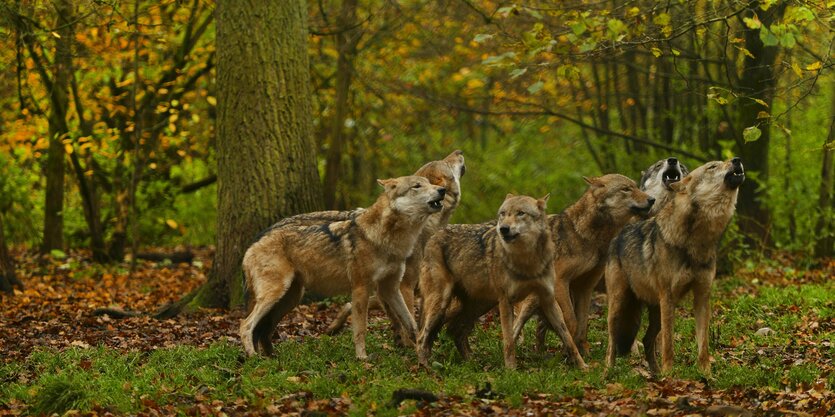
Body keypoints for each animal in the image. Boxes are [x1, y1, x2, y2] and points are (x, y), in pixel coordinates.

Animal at [240, 174, 448, 360]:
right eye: (417, 186)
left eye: (430, 183)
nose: (442, 190)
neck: (385, 238)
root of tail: (252, 244)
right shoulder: (361, 288)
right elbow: (361, 328)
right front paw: (362, 358)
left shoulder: (390, 289)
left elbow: (411, 323)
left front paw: (419, 348)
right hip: (275, 294)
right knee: (245, 325)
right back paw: (253, 357)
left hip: (290, 299)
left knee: (264, 330)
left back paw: (272, 357)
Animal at [418, 193, 588, 368]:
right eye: (503, 214)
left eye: (521, 213)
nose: (503, 229)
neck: (527, 262)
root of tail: (434, 235)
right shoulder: (506, 301)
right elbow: (509, 339)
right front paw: (511, 369)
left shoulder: (548, 299)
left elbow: (568, 338)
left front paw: (583, 366)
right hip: (443, 302)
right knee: (422, 336)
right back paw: (426, 368)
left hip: (480, 305)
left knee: (455, 330)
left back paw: (472, 363)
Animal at [506, 174, 656, 356]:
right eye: (626, 189)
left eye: (635, 186)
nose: (652, 199)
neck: (592, 238)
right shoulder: (560, 282)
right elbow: (571, 321)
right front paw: (568, 352)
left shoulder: (585, 287)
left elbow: (582, 324)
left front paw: (583, 351)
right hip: (531, 301)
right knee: (516, 328)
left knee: (539, 330)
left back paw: (540, 354)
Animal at [604, 157, 748, 374]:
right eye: (712, 166)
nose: (737, 160)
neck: (697, 239)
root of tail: (617, 236)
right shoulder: (668, 297)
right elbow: (668, 344)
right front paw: (670, 374)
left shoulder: (702, 297)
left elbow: (703, 344)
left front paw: (706, 374)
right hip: (620, 305)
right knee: (612, 342)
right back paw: (608, 373)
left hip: (654, 312)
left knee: (647, 340)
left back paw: (655, 375)